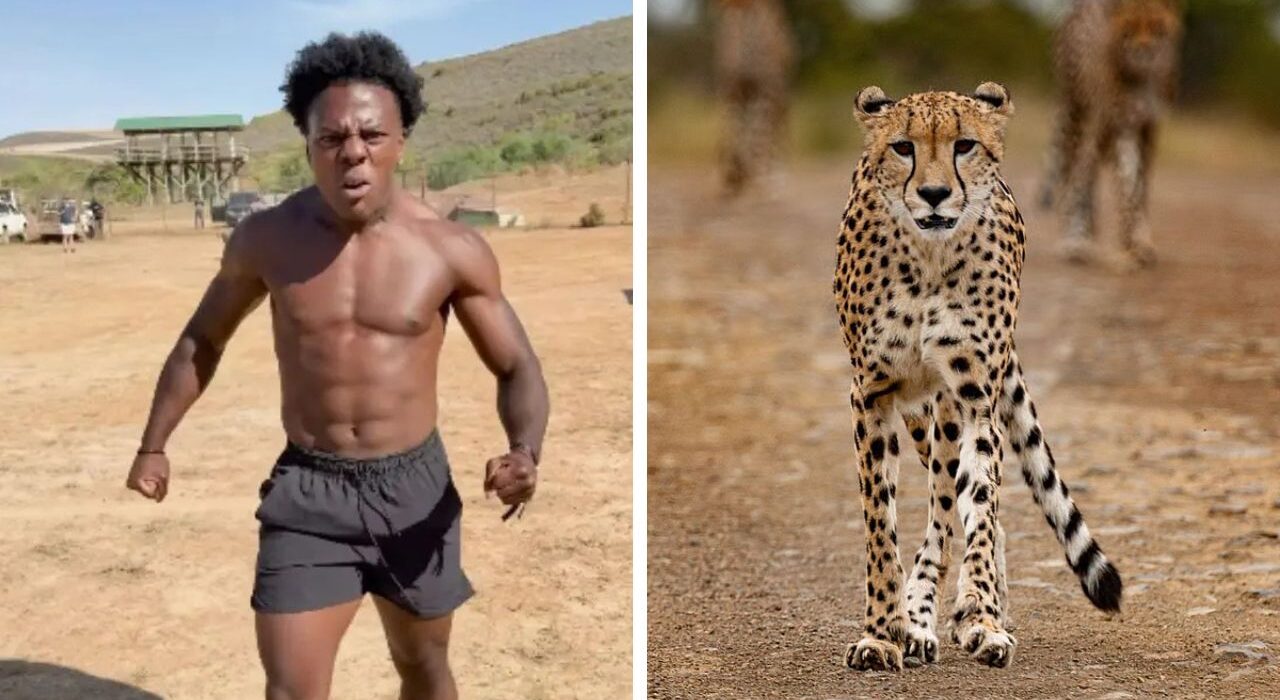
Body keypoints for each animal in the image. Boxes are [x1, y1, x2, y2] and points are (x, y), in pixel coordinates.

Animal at [832, 82, 1124, 672]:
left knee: (952, 508)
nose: (935, 194)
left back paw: (957, 613)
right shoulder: (872, 393)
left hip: (947, 409)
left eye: (964, 144)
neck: (928, 258)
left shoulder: (972, 395)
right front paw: (881, 632)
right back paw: (919, 622)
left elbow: (980, 508)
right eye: (903, 147)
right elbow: (880, 523)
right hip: (919, 415)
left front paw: (983, 620)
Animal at [1038, 0, 1183, 267]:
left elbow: (1141, 187)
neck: (1144, 77)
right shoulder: (1120, 126)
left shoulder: (1148, 128)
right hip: (1076, 114)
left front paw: (1141, 241)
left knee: (1087, 175)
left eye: (1156, 25)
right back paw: (1075, 240)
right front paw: (1129, 247)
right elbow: (1126, 187)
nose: (1144, 50)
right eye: (1129, 28)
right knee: (1072, 177)